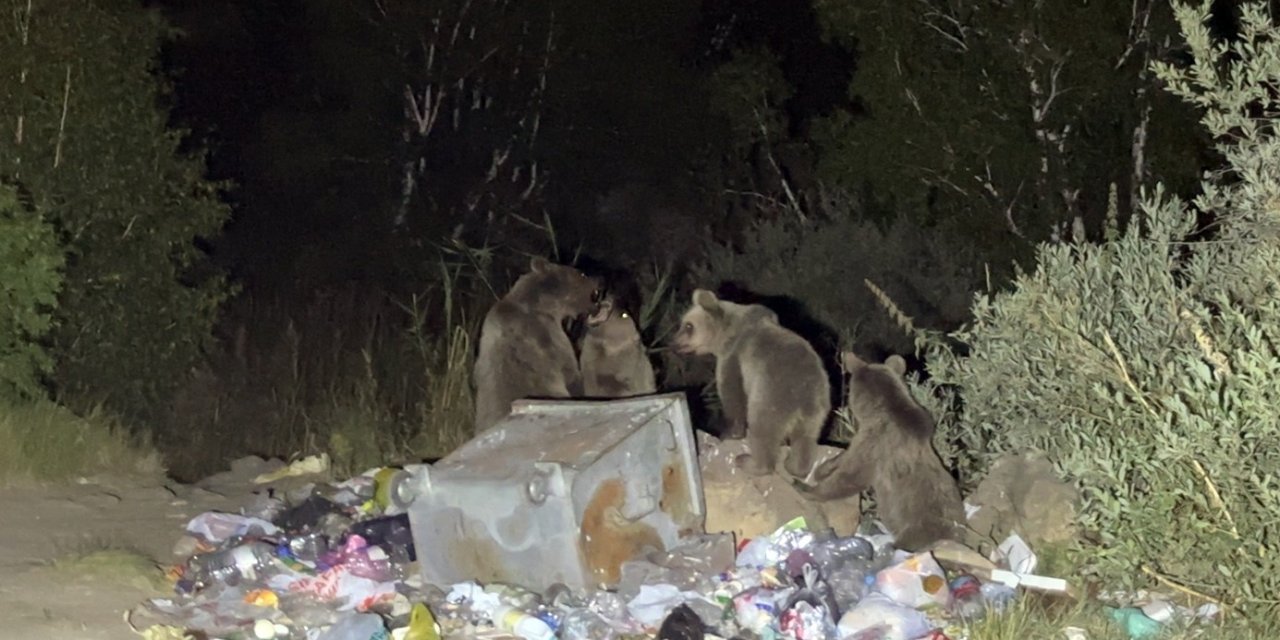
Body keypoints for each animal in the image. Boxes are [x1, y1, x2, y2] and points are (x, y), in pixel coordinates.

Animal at [670, 290, 829, 481]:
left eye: (688, 326)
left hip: (772, 394)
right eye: (683, 324)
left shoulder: (733, 356)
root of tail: (806, 392)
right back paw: (796, 466)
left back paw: (749, 462)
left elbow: (732, 393)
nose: (673, 344)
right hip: (816, 409)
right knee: (806, 438)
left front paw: (729, 433)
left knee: (762, 428)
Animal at [793, 350, 962, 550]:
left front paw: (807, 488)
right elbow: (845, 457)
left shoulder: (876, 444)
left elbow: (850, 476)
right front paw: (823, 468)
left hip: (920, 527)